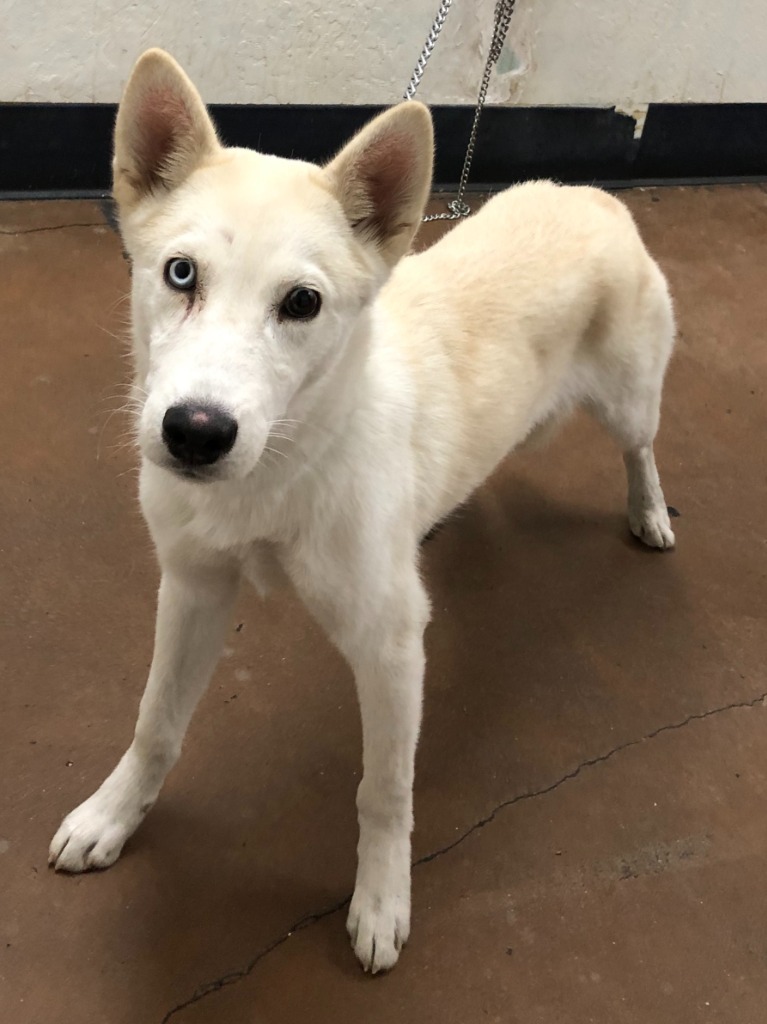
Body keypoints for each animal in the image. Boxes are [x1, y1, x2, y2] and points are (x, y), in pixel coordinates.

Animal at [46, 49, 675, 974]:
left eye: (301, 304)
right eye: (180, 274)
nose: (195, 432)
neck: (278, 470)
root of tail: (585, 193)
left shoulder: (388, 647)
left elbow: (384, 790)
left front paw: (380, 900)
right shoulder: (193, 589)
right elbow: (155, 723)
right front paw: (112, 816)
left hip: (629, 401)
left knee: (640, 447)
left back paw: (649, 512)